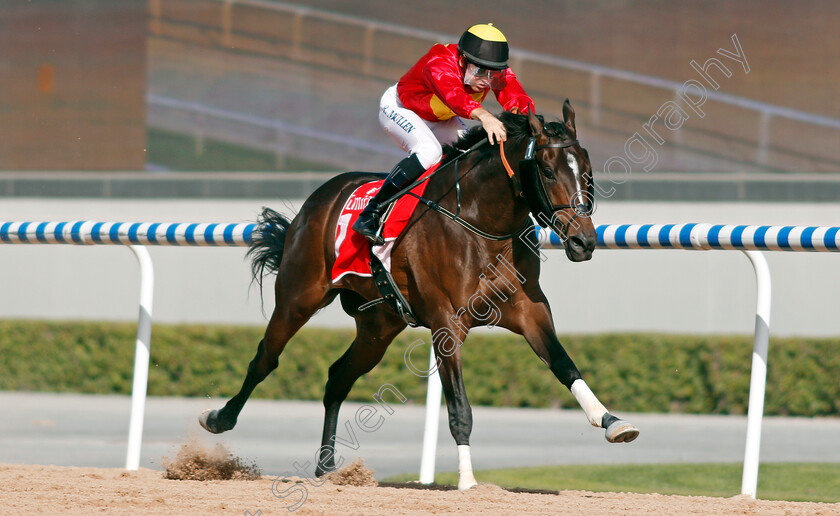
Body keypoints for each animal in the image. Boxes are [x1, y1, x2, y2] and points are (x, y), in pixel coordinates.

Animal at [200, 102, 640, 492]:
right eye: (547, 170)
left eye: (587, 172)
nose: (583, 241)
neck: (483, 223)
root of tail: (320, 197)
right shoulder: (447, 324)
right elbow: (459, 408)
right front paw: (468, 480)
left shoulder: (530, 311)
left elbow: (565, 365)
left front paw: (612, 422)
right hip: (298, 297)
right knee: (265, 358)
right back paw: (219, 419)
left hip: (378, 326)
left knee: (338, 377)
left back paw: (326, 466)